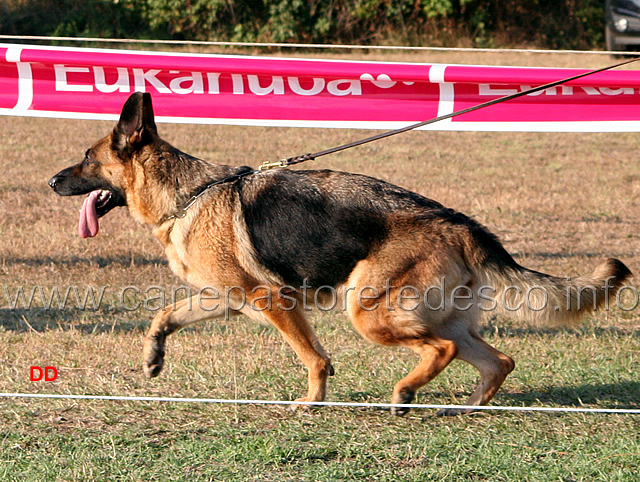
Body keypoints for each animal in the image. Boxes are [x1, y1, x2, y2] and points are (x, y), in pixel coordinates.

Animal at [48, 93, 632, 414]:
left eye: (87, 159)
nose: (51, 181)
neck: (186, 194)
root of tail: (462, 223)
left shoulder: (273, 300)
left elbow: (314, 357)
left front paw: (312, 403)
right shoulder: (225, 299)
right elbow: (164, 315)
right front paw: (153, 356)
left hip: (369, 312)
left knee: (441, 350)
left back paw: (405, 394)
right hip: (437, 318)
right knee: (497, 360)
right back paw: (459, 408)